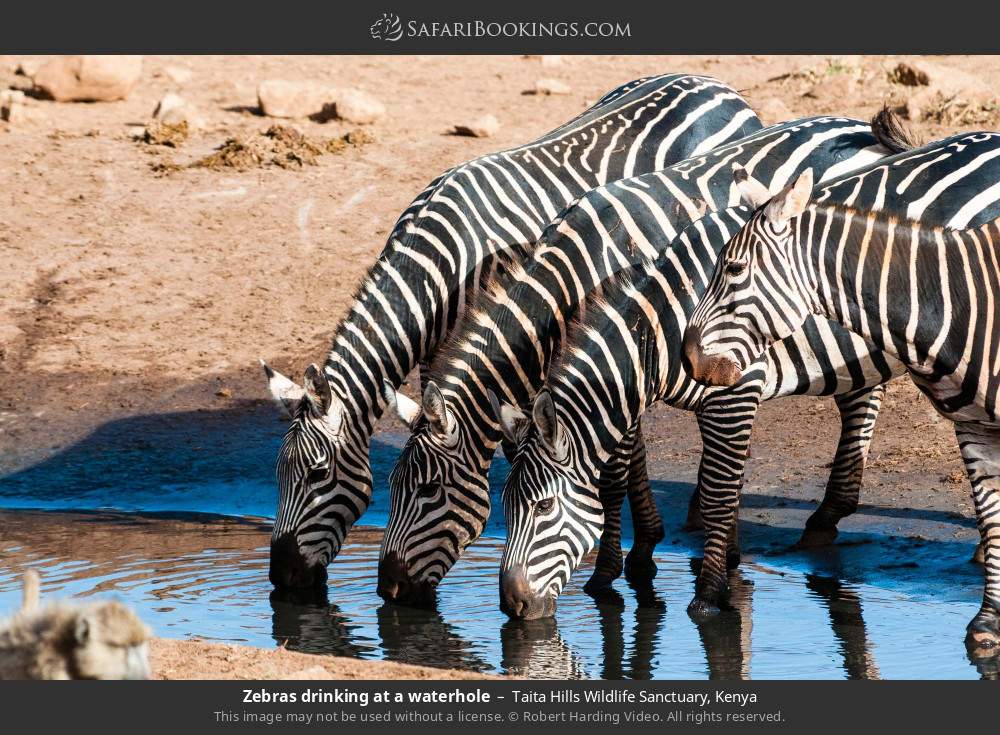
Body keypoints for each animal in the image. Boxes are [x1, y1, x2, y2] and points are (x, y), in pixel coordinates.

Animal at [258, 75, 756, 588]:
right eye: (280, 475)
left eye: (317, 476)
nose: (282, 576)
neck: (439, 265)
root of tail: (710, 82)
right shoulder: (447, 355)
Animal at [376, 116, 892, 608]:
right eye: (394, 489)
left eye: (427, 491)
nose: (389, 590)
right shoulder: (621, 378)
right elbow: (633, 466)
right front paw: (662, 553)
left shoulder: (707, 381)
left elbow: (623, 478)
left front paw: (627, 568)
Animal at [688, 132, 1000, 648]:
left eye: (731, 270)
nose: (690, 357)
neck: (957, 298)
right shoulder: (974, 426)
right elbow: (993, 517)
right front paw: (988, 623)